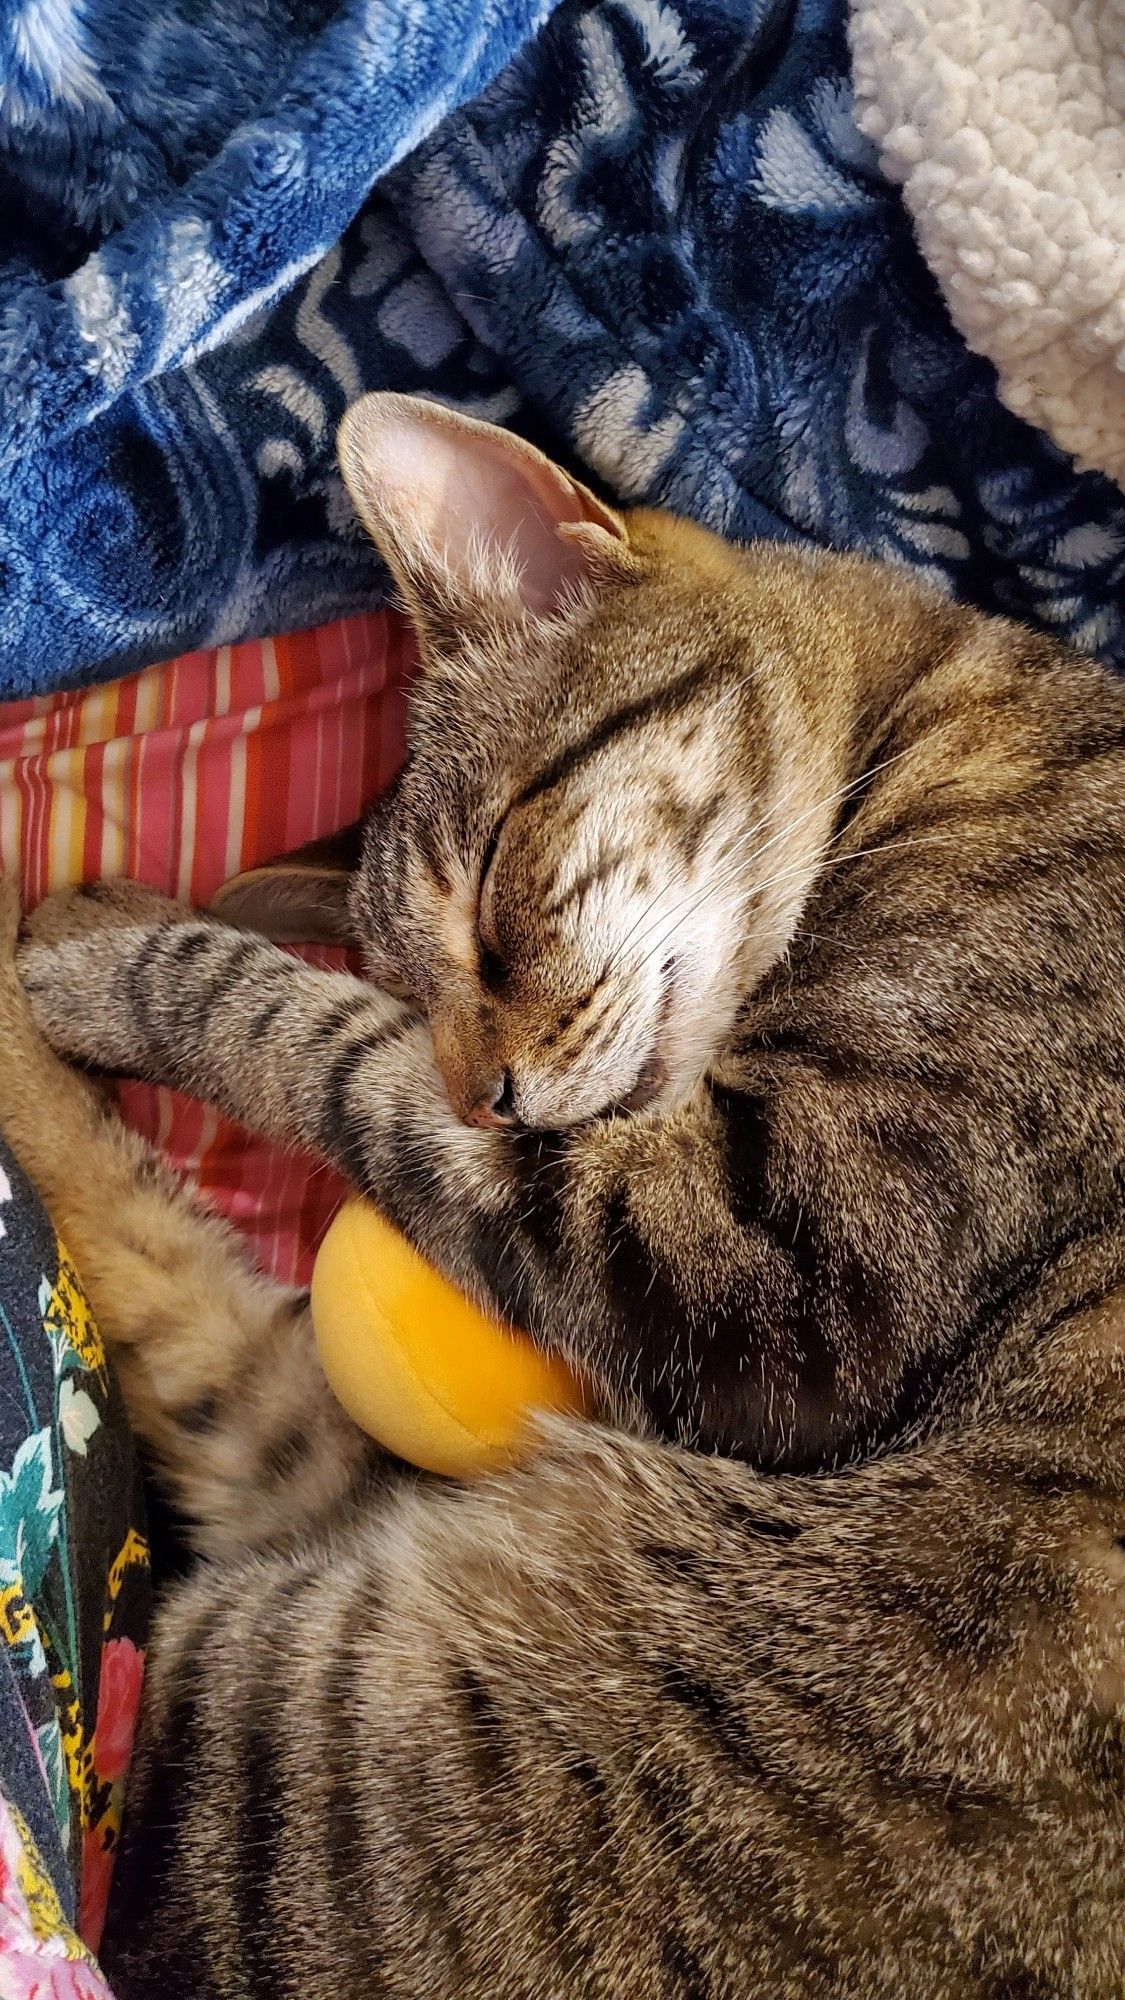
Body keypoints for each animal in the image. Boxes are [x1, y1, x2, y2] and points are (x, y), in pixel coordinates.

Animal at [6, 394, 1120, 2000]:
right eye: (418, 987)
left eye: (485, 894)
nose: (488, 1095)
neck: (941, 723)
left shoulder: (767, 1247)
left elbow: (315, 1042)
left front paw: (121, 964)